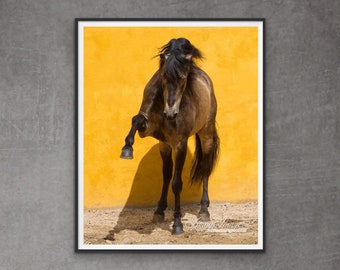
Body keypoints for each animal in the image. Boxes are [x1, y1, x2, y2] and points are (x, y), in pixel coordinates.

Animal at [121, 38, 219, 234]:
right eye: (164, 78)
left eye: (183, 79)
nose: (171, 114)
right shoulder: (155, 135)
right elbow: (136, 119)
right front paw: (127, 149)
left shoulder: (180, 144)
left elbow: (176, 183)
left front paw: (177, 224)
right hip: (166, 145)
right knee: (167, 173)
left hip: (206, 134)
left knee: (205, 167)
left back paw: (204, 210)